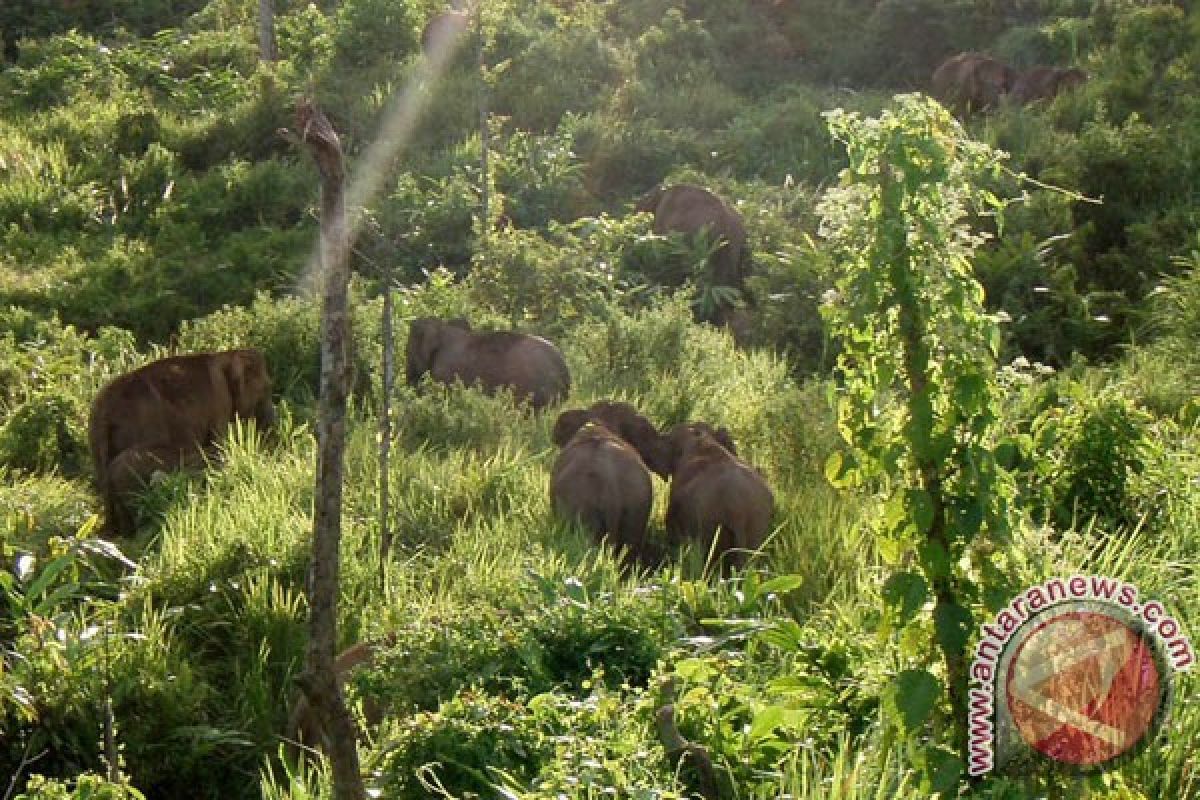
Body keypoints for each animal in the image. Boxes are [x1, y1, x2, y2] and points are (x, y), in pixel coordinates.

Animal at [89, 347, 276, 532]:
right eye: (267, 388)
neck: (226, 355)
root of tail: (104, 411)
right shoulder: (219, 398)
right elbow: (218, 441)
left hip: (97, 443)